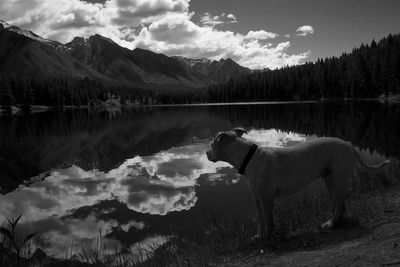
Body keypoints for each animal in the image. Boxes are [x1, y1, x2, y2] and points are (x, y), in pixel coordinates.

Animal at [206, 129, 390, 240]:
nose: (206, 153)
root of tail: (349, 145)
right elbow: (260, 219)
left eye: (212, 144)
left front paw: (268, 237)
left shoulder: (266, 199)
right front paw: (259, 236)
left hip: (337, 180)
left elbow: (268, 219)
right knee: (340, 205)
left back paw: (330, 224)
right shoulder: (256, 198)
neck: (249, 158)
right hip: (329, 180)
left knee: (340, 204)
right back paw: (333, 221)